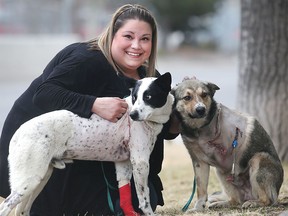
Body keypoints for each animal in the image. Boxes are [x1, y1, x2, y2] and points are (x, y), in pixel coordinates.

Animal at [171, 77, 284, 211]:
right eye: (187, 97)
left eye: (204, 94)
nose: (201, 109)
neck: (200, 129)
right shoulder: (199, 162)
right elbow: (201, 190)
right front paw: (198, 208)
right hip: (221, 172)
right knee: (235, 200)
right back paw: (221, 203)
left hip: (258, 159)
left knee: (267, 200)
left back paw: (253, 203)